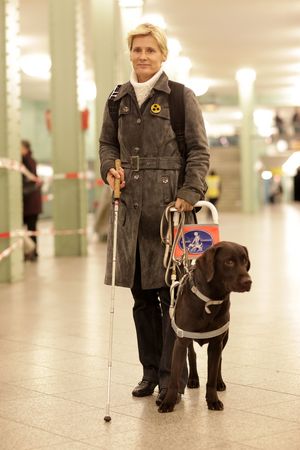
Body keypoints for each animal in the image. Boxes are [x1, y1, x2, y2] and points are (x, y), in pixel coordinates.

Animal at [159, 241, 251, 414]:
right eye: (229, 262)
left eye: (244, 261)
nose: (248, 281)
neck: (210, 299)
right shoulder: (180, 342)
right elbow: (174, 379)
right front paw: (168, 402)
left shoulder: (216, 343)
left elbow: (212, 376)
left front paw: (213, 400)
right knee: (192, 355)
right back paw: (193, 378)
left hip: (225, 338)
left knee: (220, 360)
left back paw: (220, 382)